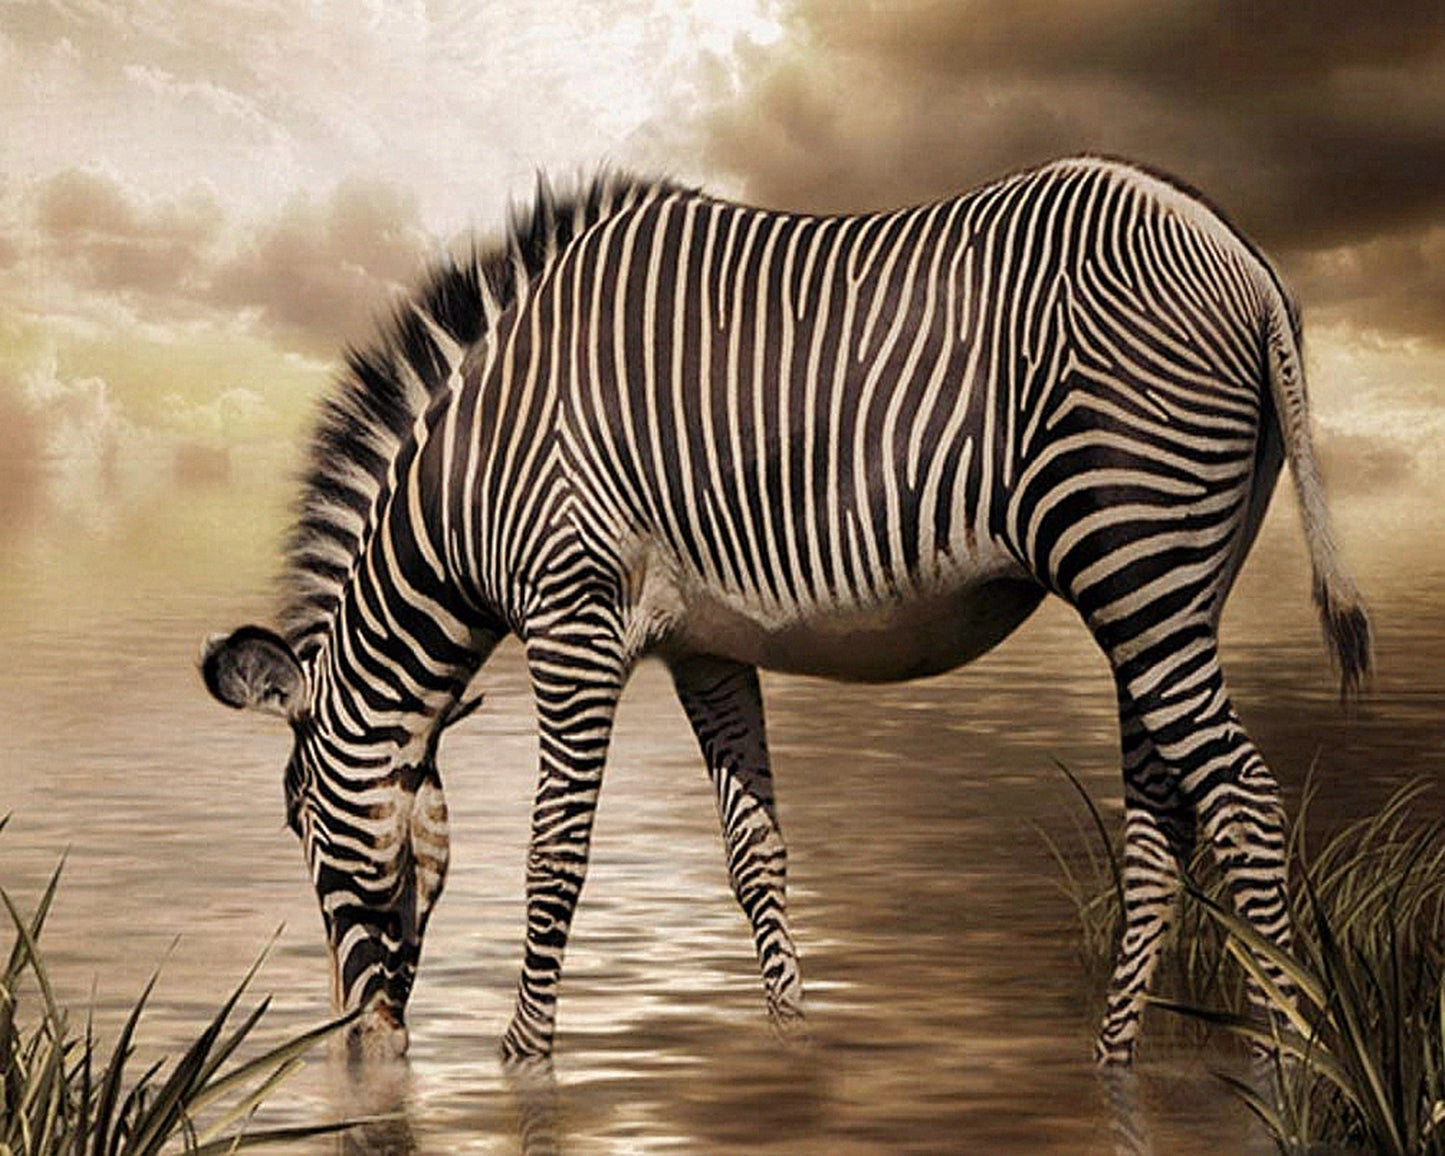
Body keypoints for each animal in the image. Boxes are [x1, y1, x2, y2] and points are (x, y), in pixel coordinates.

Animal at [201, 155, 1369, 1065]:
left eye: (297, 821)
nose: (360, 1050)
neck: (473, 477)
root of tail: (1238, 250)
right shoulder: (704, 645)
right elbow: (753, 853)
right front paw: (789, 1046)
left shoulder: (573, 616)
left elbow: (555, 854)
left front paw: (522, 1061)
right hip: (1165, 583)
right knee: (1159, 819)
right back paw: (1113, 1064)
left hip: (1132, 553)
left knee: (1240, 803)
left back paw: (1287, 1062)